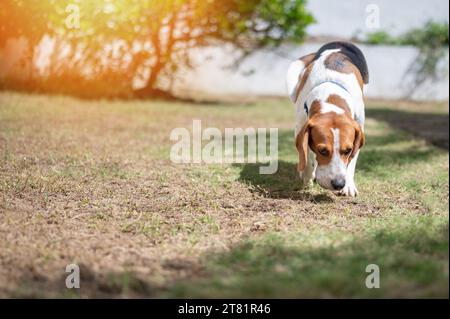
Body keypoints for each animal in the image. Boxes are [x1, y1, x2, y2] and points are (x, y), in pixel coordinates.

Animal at [284, 42, 370, 198]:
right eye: (322, 151)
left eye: (348, 150)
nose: (338, 184)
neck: (331, 95)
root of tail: (338, 43)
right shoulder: (300, 127)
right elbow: (305, 156)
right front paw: (307, 178)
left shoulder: (359, 128)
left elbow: (351, 162)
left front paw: (349, 185)